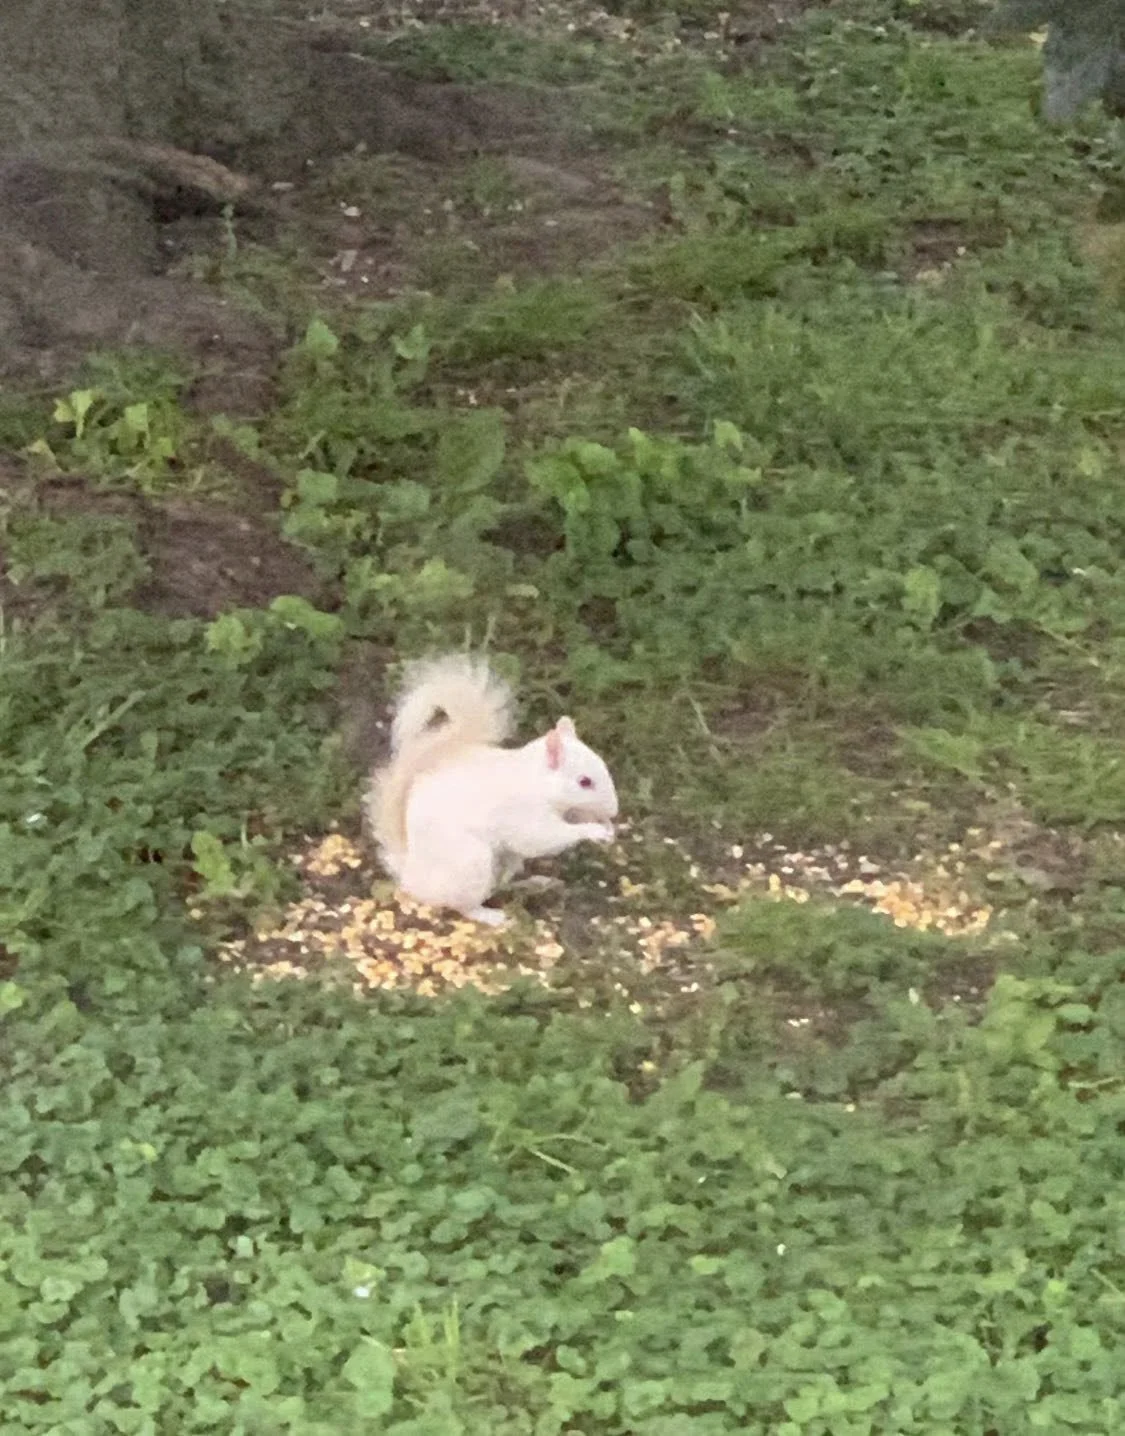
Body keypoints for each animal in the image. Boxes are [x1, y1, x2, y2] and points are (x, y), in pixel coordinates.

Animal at [365, 653, 619, 926]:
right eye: (585, 782)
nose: (614, 811)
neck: (537, 782)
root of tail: (412, 875)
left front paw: (605, 826)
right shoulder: (525, 815)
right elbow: (543, 838)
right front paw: (593, 830)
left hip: (504, 863)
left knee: (498, 887)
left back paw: (534, 884)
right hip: (471, 862)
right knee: (463, 905)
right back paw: (492, 916)